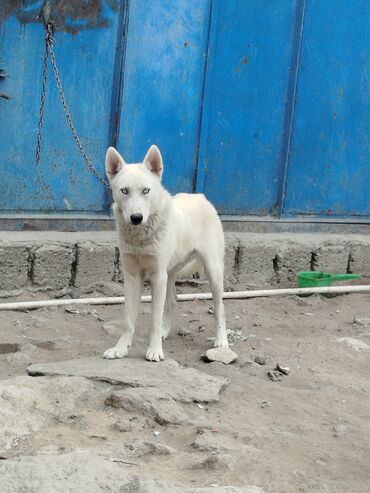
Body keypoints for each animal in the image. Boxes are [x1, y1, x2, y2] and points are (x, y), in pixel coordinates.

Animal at [102, 145, 227, 362]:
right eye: (124, 191)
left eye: (146, 190)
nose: (136, 218)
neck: (140, 237)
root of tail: (201, 197)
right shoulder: (132, 276)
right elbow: (128, 319)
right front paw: (121, 349)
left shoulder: (157, 275)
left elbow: (154, 318)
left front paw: (154, 351)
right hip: (170, 274)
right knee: (172, 300)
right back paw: (165, 331)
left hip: (212, 270)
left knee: (220, 306)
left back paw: (221, 341)